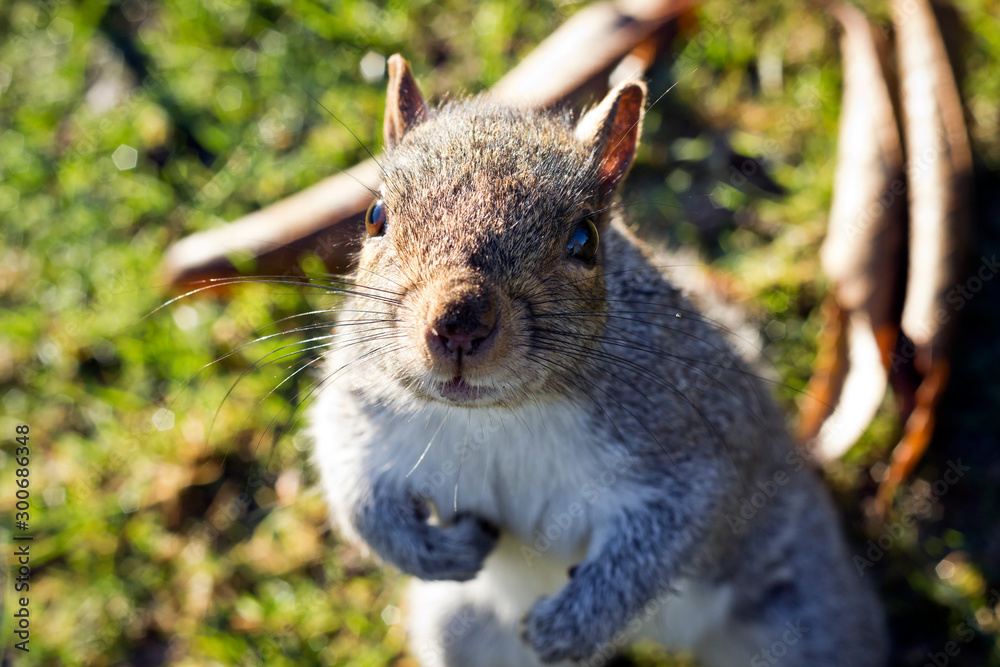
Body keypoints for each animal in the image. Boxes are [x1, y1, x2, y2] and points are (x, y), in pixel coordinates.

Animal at [310, 54, 888, 667]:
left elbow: (675, 525)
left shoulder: (690, 436)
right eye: (375, 216)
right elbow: (352, 479)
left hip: (808, 612)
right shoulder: (365, 401)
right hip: (462, 629)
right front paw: (430, 551)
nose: (458, 324)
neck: (502, 415)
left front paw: (573, 624)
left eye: (584, 239)